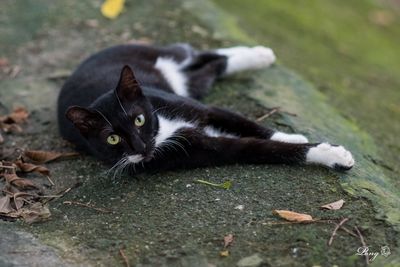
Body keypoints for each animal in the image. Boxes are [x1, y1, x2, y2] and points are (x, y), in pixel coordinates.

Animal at [57, 43, 354, 175]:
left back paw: (259, 54)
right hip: (192, 84)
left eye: (139, 119)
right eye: (112, 139)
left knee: (199, 53)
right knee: (211, 68)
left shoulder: (204, 110)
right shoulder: (198, 149)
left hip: (166, 60)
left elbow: (246, 123)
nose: (140, 148)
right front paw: (332, 154)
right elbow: (259, 148)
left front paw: (290, 136)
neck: (162, 131)